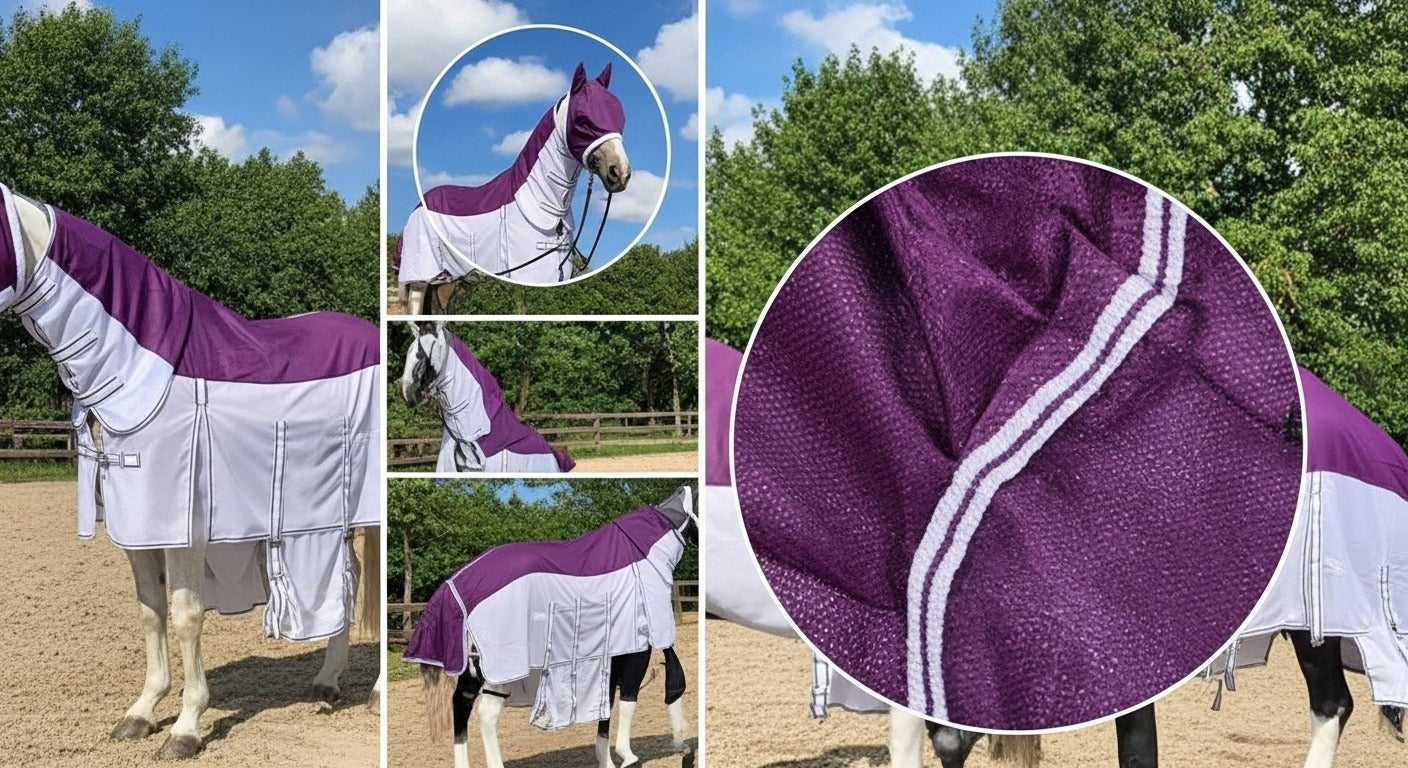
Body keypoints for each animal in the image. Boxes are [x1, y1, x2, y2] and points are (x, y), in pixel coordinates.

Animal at [0, 184, 383, 758]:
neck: (142, 370)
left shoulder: (186, 532)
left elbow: (185, 616)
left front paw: (185, 727)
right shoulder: (140, 531)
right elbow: (150, 611)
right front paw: (141, 713)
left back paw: (376, 692)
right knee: (349, 579)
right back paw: (326, 683)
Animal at [396, 61, 632, 309]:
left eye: (619, 120)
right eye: (582, 120)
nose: (620, 173)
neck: (544, 210)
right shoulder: (529, 274)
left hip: (446, 280)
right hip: (422, 274)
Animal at [406, 485, 697, 768]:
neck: (641, 556)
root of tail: (454, 586)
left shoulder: (610, 655)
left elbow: (606, 707)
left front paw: (607, 761)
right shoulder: (637, 650)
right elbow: (627, 699)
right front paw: (627, 756)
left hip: (474, 670)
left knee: (461, 705)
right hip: (501, 671)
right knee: (486, 714)